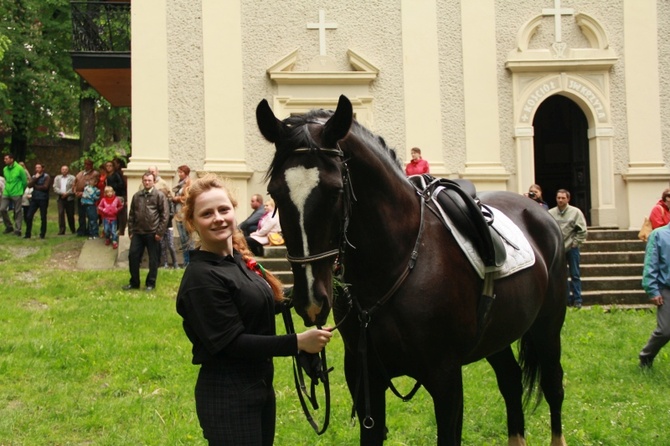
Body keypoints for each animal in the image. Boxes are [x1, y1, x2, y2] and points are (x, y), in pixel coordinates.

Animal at [258, 96, 568, 444]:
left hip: (547, 326)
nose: (311, 299)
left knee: (553, 385)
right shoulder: (363, 376)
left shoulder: (446, 377)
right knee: (511, 381)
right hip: (497, 336)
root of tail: (537, 211)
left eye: (336, 190)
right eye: (275, 192)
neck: (395, 264)